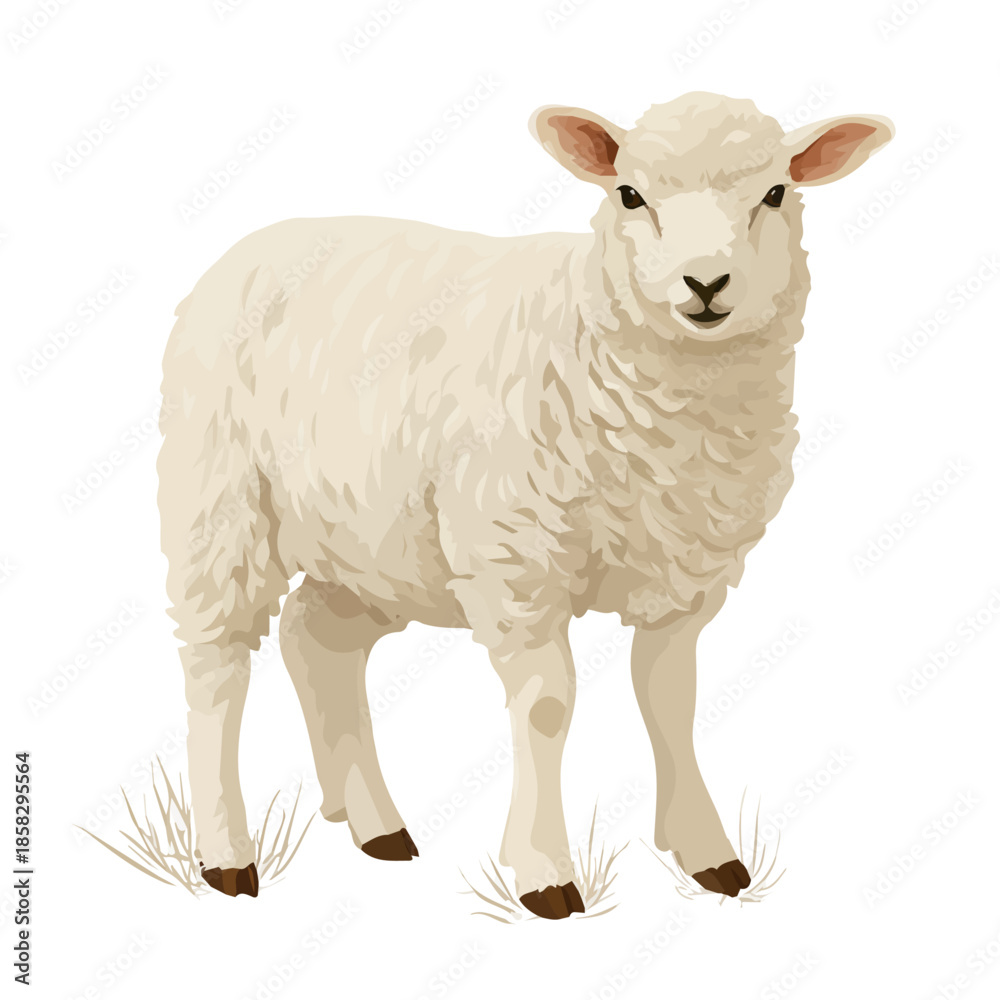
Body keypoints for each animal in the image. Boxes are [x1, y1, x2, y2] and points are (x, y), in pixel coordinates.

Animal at [158, 91, 893, 916]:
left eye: (774, 193)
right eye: (628, 194)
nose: (706, 283)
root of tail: (259, 240)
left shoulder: (684, 572)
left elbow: (671, 704)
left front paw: (708, 855)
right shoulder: (518, 558)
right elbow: (548, 707)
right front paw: (545, 871)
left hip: (373, 540)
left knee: (316, 643)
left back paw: (375, 825)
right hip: (219, 501)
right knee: (216, 668)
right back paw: (226, 854)